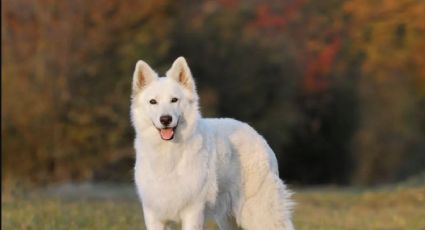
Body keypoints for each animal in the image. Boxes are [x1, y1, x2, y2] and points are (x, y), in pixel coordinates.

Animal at [131, 56, 294, 230]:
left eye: (174, 100)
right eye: (153, 102)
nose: (166, 119)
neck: (168, 152)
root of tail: (259, 137)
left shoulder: (193, 211)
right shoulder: (154, 215)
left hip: (257, 212)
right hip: (228, 219)